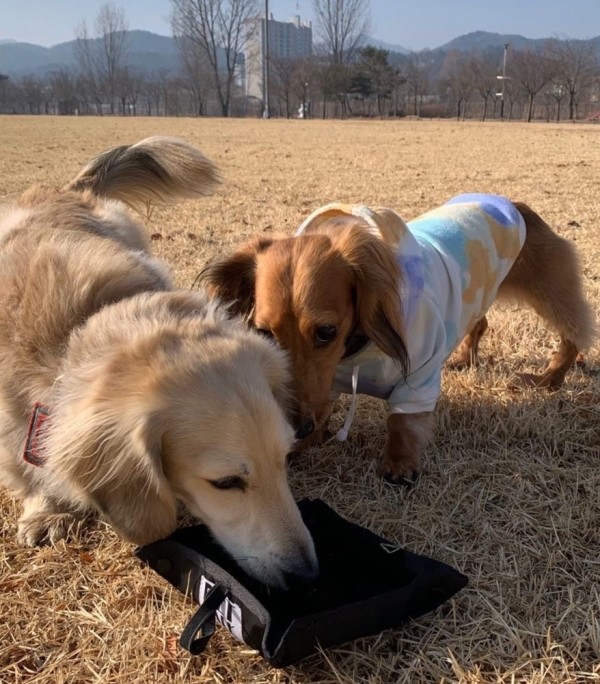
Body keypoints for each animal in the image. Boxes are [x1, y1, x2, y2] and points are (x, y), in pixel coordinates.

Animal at [0, 138, 318, 588]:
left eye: (285, 459)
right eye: (225, 482)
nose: (308, 575)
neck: (85, 322)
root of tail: (68, 190)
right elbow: (24, 463)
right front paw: (50, 509)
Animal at [200, 195, 596, 484]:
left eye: (326, 332)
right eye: (265, 332)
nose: (297, 428)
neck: (356, 351)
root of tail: (512, 204)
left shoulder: (419, 374)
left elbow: (404, 423)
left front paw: (400, 462)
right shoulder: (326, 384)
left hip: (549, 289)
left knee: (575, 330)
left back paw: (551, 376)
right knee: (479, 324)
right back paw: (465, 357)